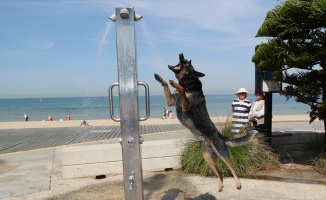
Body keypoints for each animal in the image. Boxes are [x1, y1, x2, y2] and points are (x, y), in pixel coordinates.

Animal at [154, 53, 258, 192]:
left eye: (186, 61)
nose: (181, 53)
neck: (188, 82)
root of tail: (222, 137)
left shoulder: (186, 106)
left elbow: (181, 89)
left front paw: (175, 84)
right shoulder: (171, 101)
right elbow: (166, 85)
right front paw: (160, 78)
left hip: (222, 153)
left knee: (231, 168)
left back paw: (238, 184)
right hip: (208, 158)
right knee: (220, 173)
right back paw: (220, 187)